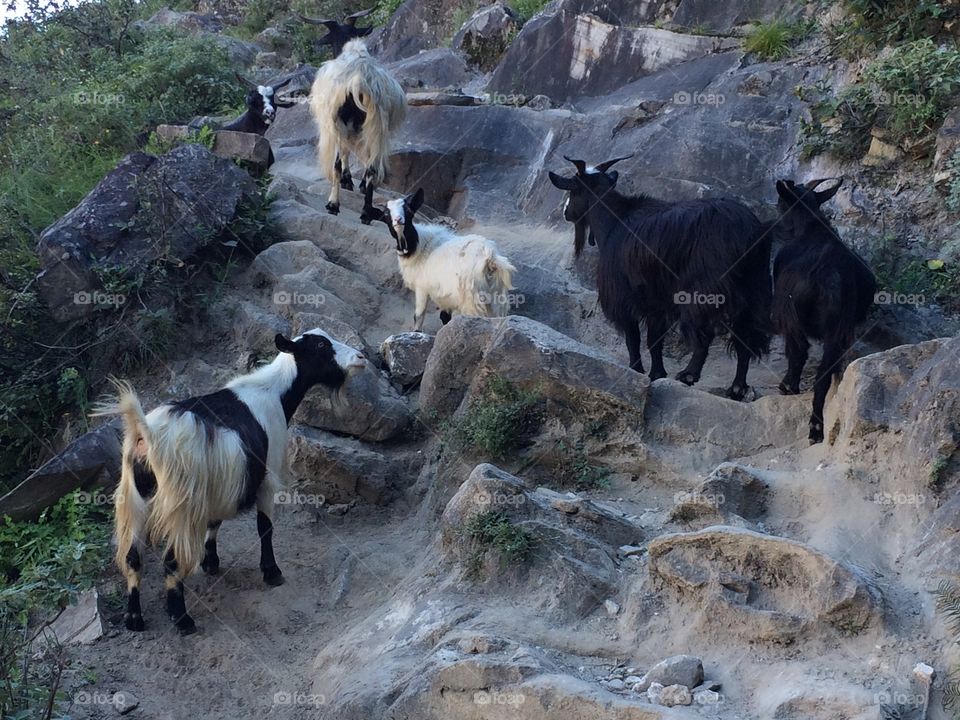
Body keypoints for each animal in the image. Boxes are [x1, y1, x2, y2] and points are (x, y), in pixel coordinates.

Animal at [93, 330, 365, 635]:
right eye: (320, 345)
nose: (361, 358)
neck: (273, 393)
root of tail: (148, 434)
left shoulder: (220, 484)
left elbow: (215, 521)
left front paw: (211, 562)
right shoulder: (267, 476)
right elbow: (265, 527)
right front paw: (272, 572)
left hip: (136, 499)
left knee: (132, 557)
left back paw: (134, 618)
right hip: (180, 504)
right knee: (171, 560)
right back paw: (182, 619)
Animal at [309, 39, 406, 224]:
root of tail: (358, 79)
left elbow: (344, 156)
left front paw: (347, 181)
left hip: (339, 123)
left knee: (337, 165)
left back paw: (333, 205)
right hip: (376, 127)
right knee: (371, 168)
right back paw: (366, 213)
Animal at [374, 188, 517, 330]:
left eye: (408, 210)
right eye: (386, 214)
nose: (398, 220)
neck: (419, 246)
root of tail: (490, 257)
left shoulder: (422, 288)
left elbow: (418, 316)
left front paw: (416, 331)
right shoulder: (445, 296)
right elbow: (444, 317)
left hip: (472, 297)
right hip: (496, 298)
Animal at [549, 156, 772, 400]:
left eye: (573, 191)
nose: (566, 213)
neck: (613, 221)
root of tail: (746, 230)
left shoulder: (624, 296)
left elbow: (633, 337)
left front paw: (636, 369)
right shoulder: (657, 300)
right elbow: (654, 339)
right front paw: (657, 373)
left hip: (703, 288)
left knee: (704, 332)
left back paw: (689, 374)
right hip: (753, 289)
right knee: (745, 338)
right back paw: (737, 388)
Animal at [771, 178, 876, 444]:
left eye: (780, 204)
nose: (776, 229)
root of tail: (824, 273)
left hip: (793, 318)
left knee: (798, 352)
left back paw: (791, 389)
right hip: (837, 329)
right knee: (824, 373)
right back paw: (816, 427)